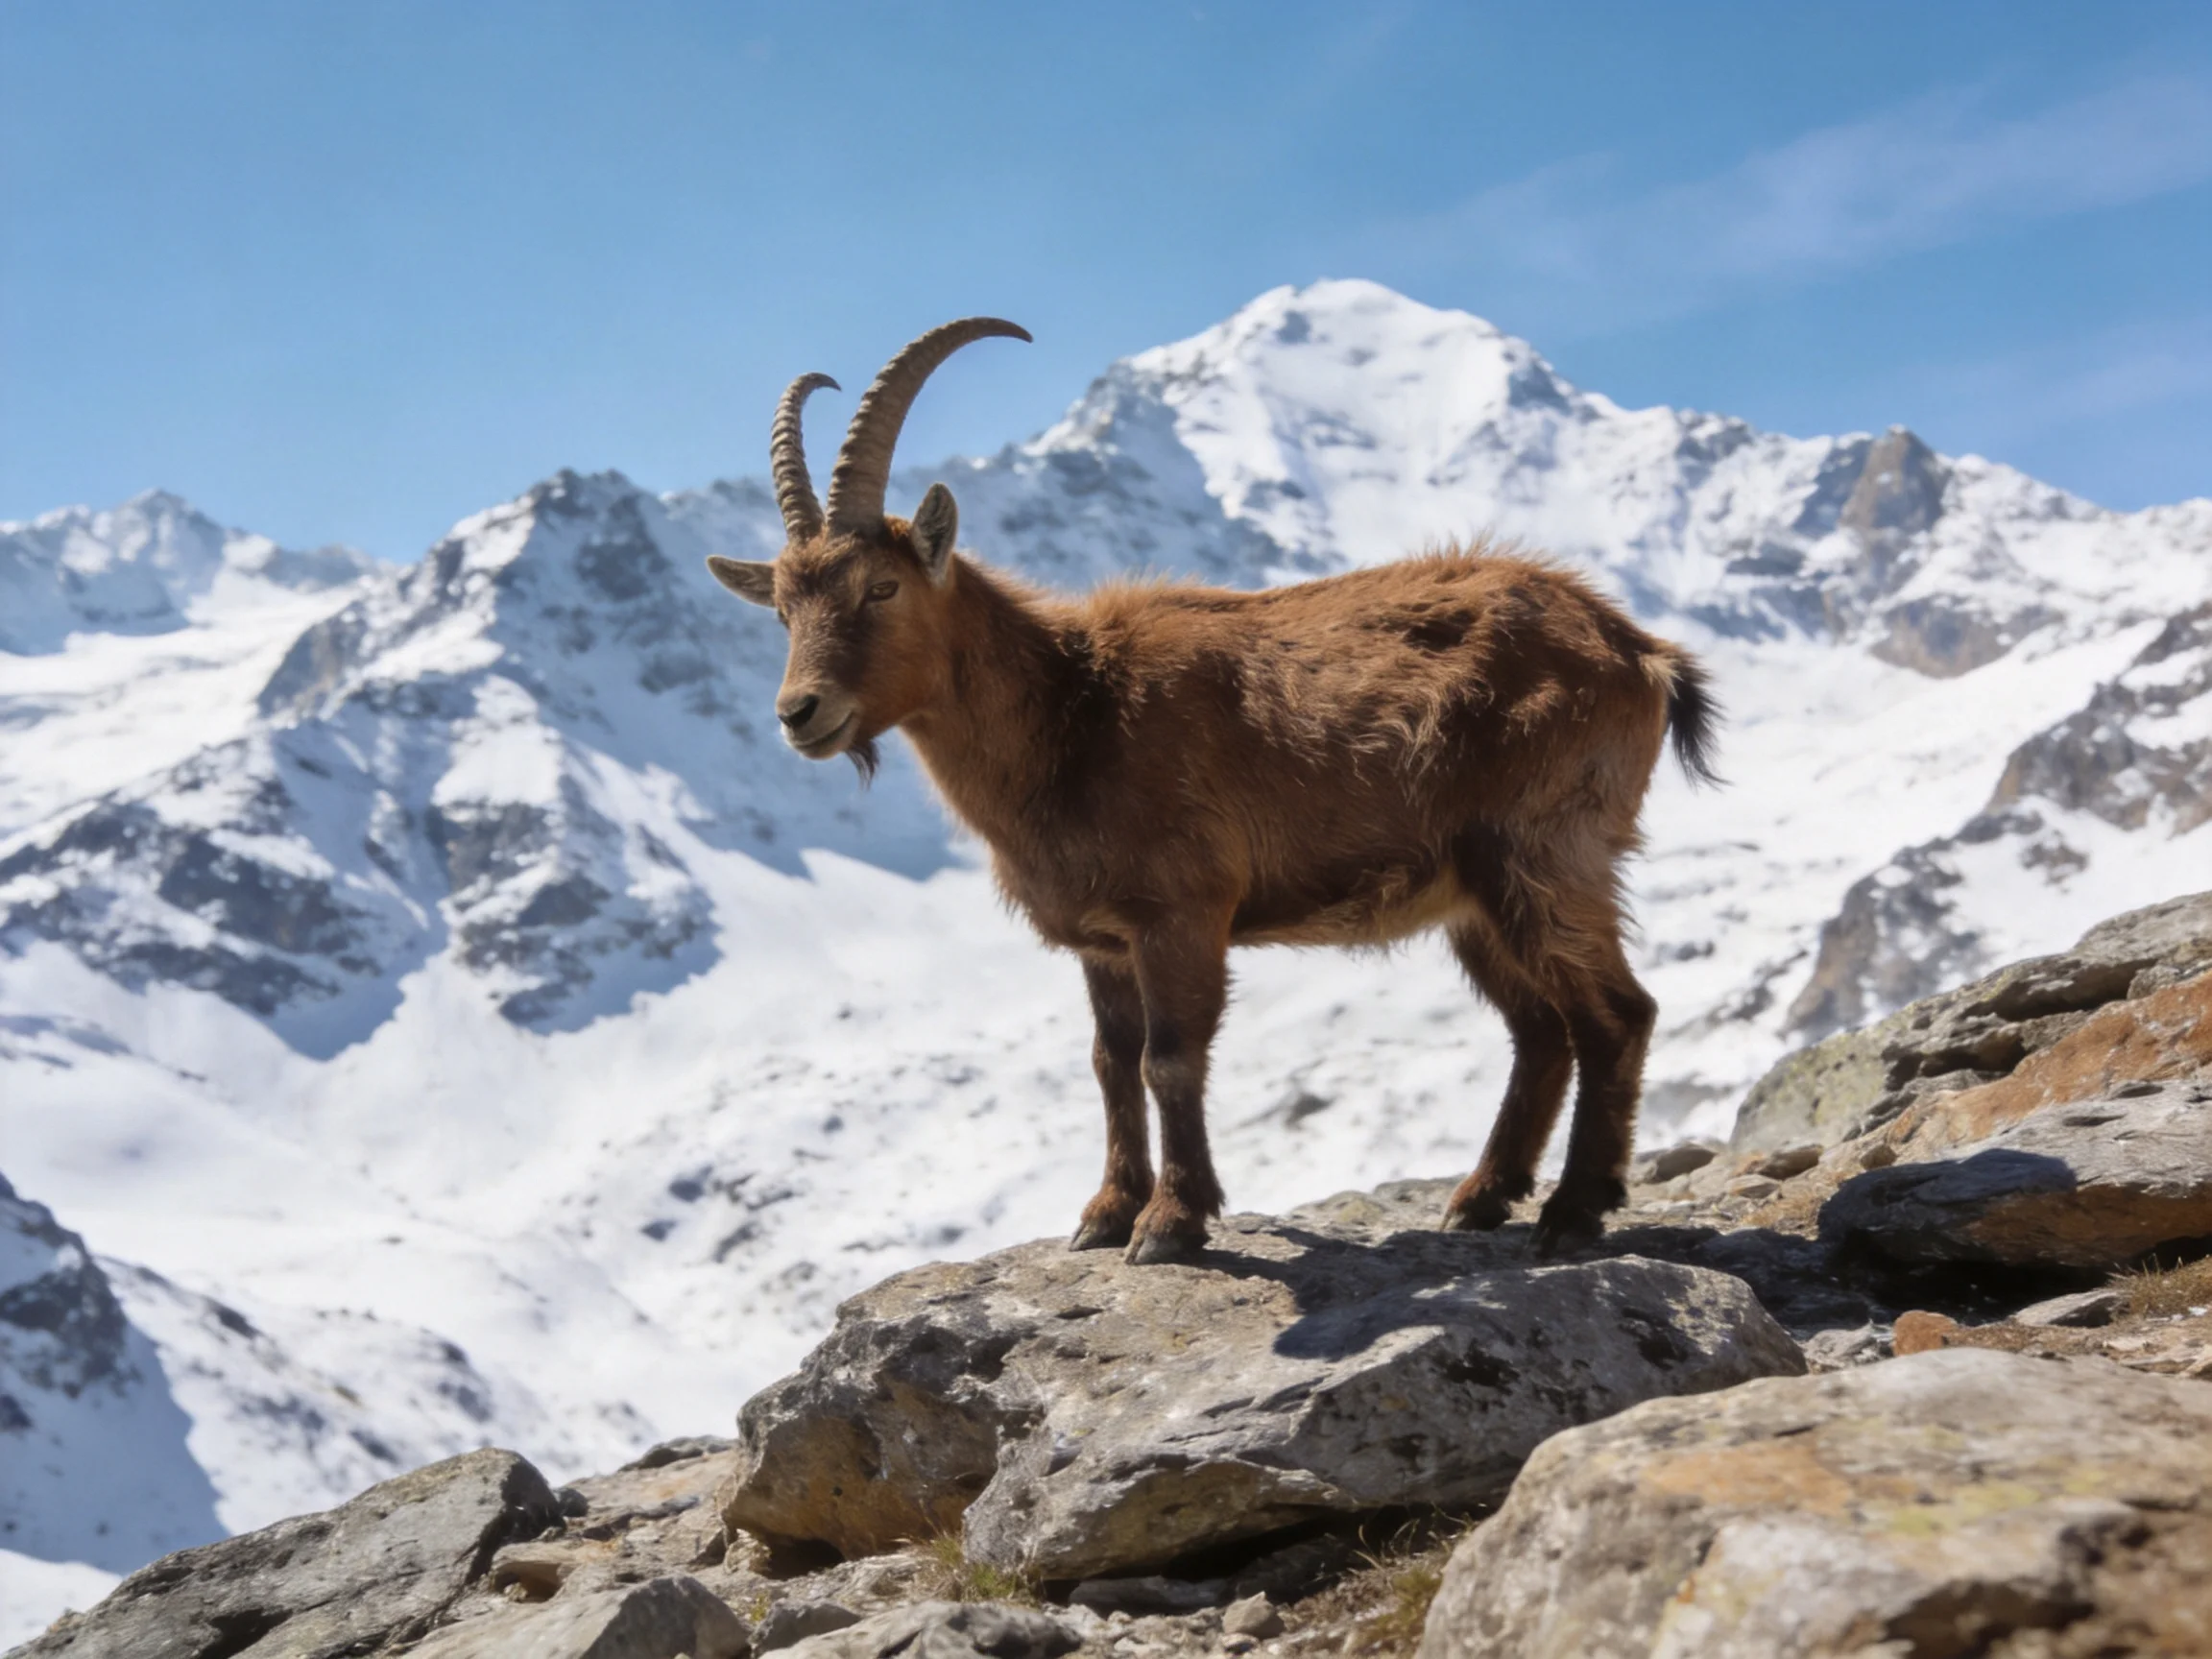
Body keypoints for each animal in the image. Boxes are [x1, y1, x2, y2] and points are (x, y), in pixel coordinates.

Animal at [707, 318, 1719, 1264]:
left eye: (881, 587)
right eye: (784, 608)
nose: (800, 713)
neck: (1075, 713)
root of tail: (1640, 650)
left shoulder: (1183, 912)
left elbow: (1171, 1059)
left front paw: (1172, 1221)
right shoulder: (1104, 939)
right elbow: (1111, 1062)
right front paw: (1105, 1213)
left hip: (1544, 851)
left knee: (1615, 1014)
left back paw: (1574, 1208)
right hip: (1473, 895)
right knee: (1541, 1029)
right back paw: (1481, 1197)